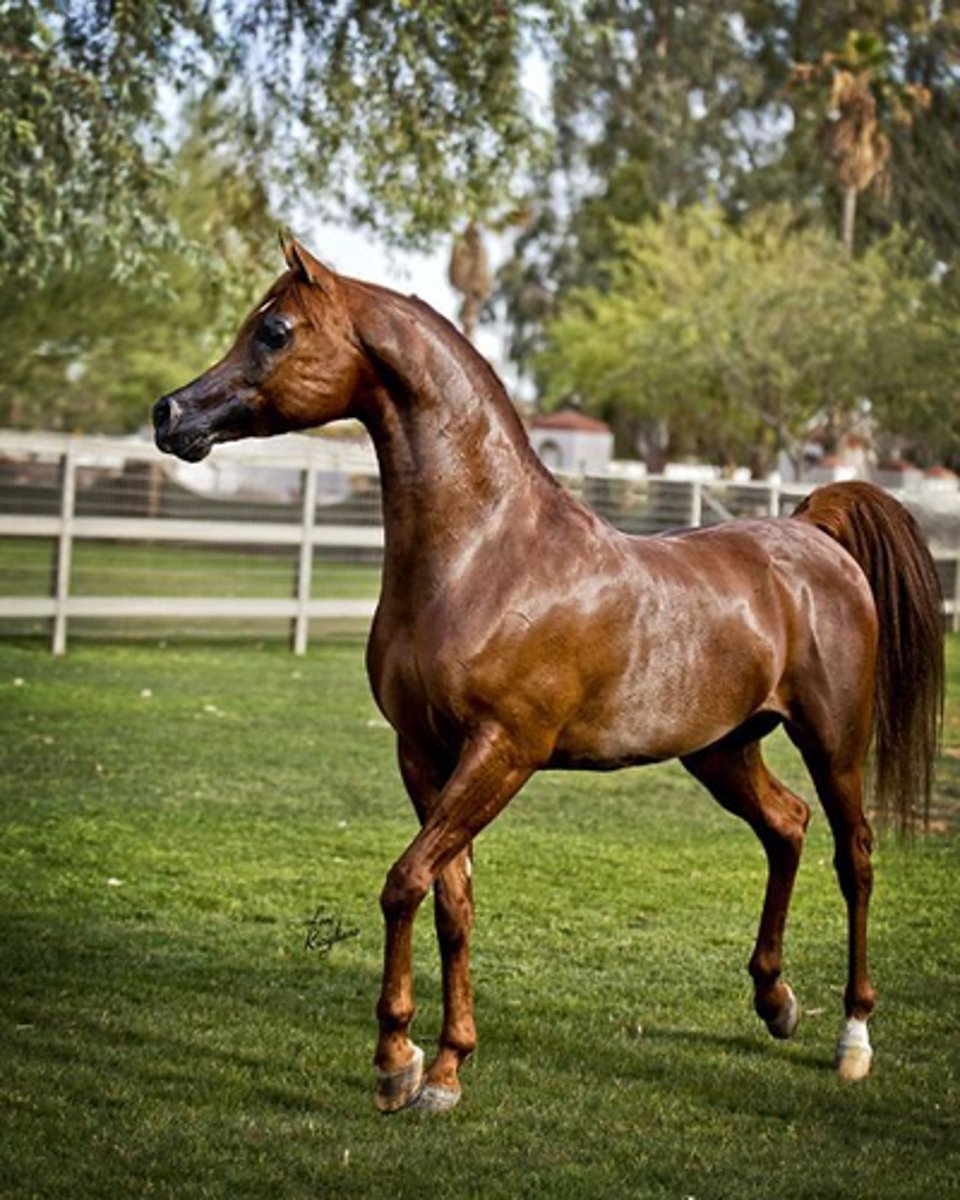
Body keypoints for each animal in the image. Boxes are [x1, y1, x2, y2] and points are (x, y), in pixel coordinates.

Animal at [152, 239, 943, 1113]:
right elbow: (452, 899)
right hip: (722, 749)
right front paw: (444, 1066)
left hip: (834, 742)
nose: (169, 414)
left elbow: (404, 882)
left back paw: (853, 1037)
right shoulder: (423, 754)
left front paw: (398, 1062)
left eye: (276, 331)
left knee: (855, 856)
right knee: (787, 826)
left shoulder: (505, 752)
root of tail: (811, 533)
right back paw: (775, 1002)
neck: (484, 555)